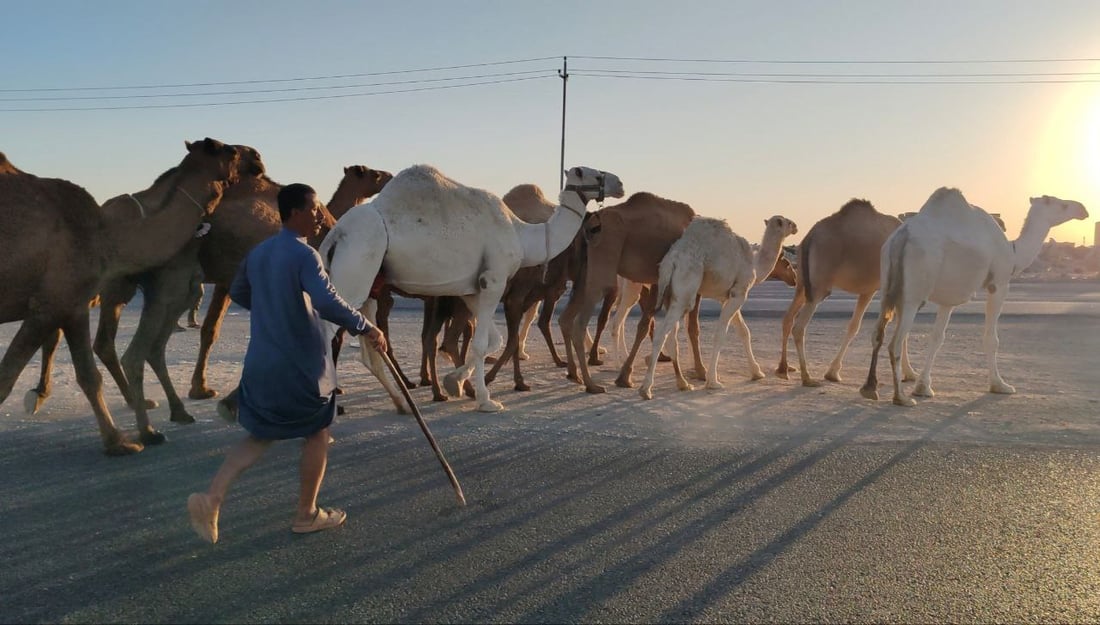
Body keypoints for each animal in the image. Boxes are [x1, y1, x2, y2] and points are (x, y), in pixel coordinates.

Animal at [0, 140, 239, 453]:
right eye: (225, 150)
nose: (249, 156)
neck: (108, 236)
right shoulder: (53, 303)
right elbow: (9, 378)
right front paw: (130, 439)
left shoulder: (71, 304)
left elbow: (88, 376)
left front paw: (118, 440)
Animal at [321, 163, 624, 411]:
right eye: (596, 174)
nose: (620, 183)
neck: (520, 233)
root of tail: (335, 234)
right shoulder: (495, 279)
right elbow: (480, 345)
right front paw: (486, 400)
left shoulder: (472, 290)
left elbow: (493, 340)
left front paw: (454, 383)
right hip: (355, 272)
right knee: (327, 335)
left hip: (370, 287)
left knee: (369, 348)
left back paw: (402, 403)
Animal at [638, 215, 800, 400]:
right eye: (787, 222)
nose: (796, 227)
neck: (754, 265)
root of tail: (671, 261)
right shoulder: (740, 293)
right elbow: (721, 335)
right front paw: (713, 381)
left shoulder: (727, 297)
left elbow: (744, 332)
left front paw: (757, 372)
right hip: (686, 290)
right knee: (662, 333)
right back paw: (646, 389)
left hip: (671, 294)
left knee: (671, 336)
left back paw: (682, 384)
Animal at [774, 199, 910, 385]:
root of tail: (810, 237)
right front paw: (910, 374)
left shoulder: (869, 289)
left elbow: (853, 326)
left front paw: (832, 372)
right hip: (819, 286)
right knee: (799, 327)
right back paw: (807, 377)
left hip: (801, 283)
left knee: (788, 318)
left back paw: (783, 369)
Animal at [858, 189, 1091, 404]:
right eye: (1062, 204)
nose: (1083, 209)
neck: (1013, 252)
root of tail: (902, 236)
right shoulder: (999, 284)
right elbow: (992, 339)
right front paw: (1000, 385)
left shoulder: (949, 298)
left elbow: (937, 337)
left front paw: (923, 387)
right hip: (913, 292)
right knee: (895, 341)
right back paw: (901, 398)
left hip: (888, 285)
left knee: (877, 333)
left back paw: (871, 388)